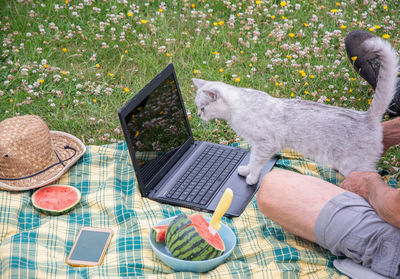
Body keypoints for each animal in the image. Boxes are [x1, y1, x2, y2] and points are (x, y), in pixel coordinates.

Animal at [193, 37, 396, 186]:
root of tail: (367, 117)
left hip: (354, 166)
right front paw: (246, 170)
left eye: (202, 108)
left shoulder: (265, 145)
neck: (236, 110)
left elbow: (256, 162)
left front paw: (251, 178)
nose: (198, 115)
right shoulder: (255, 145)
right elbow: (251, 160)